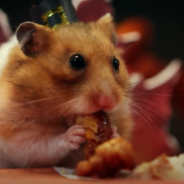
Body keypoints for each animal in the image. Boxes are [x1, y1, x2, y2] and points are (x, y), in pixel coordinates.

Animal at [0, 13, 133, 167]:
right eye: (76, 61)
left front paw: (113, 133)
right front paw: (75, 133)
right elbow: (44, 145)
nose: (109, 101)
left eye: (116, 63)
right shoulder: (17, 136)